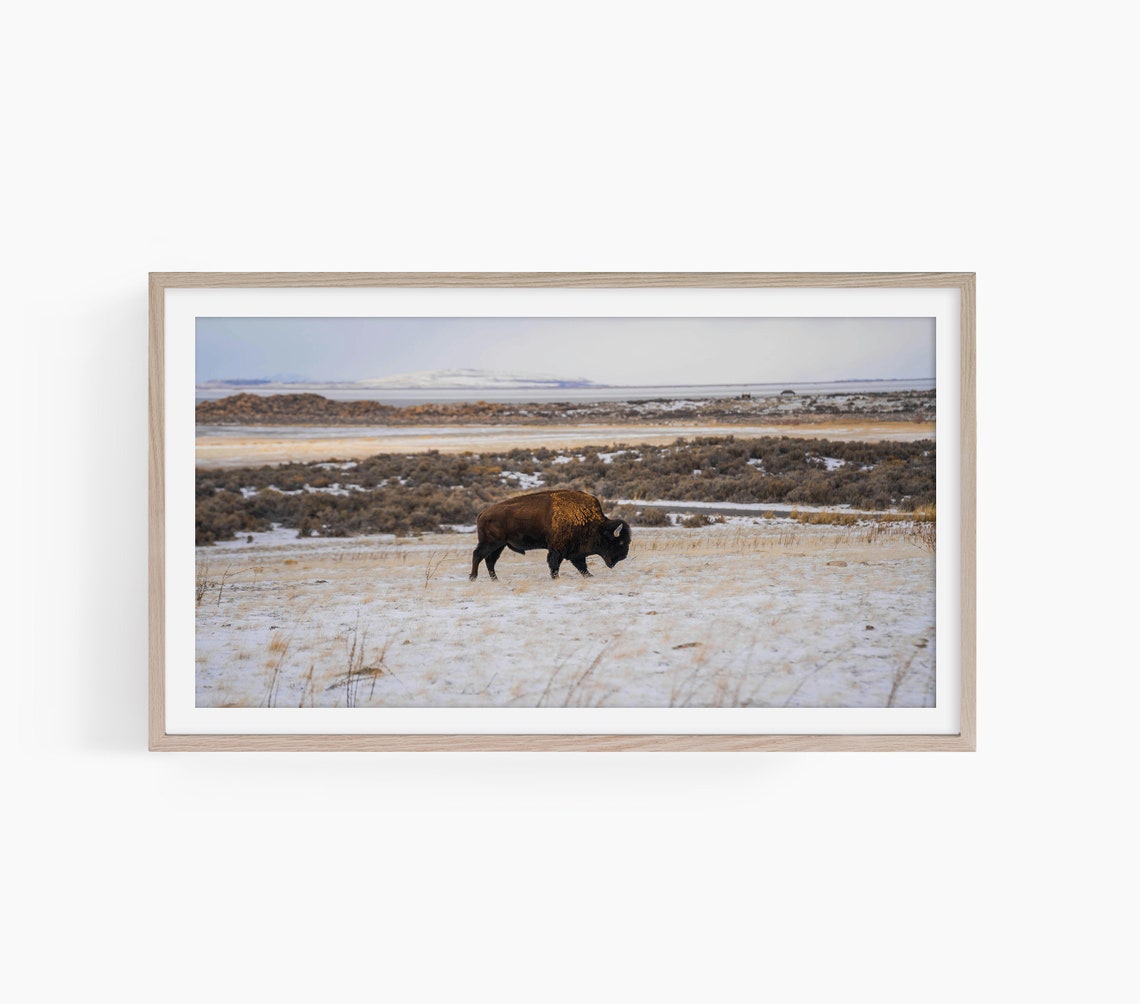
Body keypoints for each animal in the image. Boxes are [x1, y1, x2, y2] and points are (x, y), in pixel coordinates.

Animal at [470, 489, 631, 580]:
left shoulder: (575, 552)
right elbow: (555, 564)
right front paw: (555, 578)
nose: (623, 557)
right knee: (478, 555)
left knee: (490, 560)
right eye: (620, 542)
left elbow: (581, 566)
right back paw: (473, 577)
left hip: (499, 546)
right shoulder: (557, 549)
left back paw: (495, 579)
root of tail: (482, 513)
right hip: (491, 543)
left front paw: (589, 576)